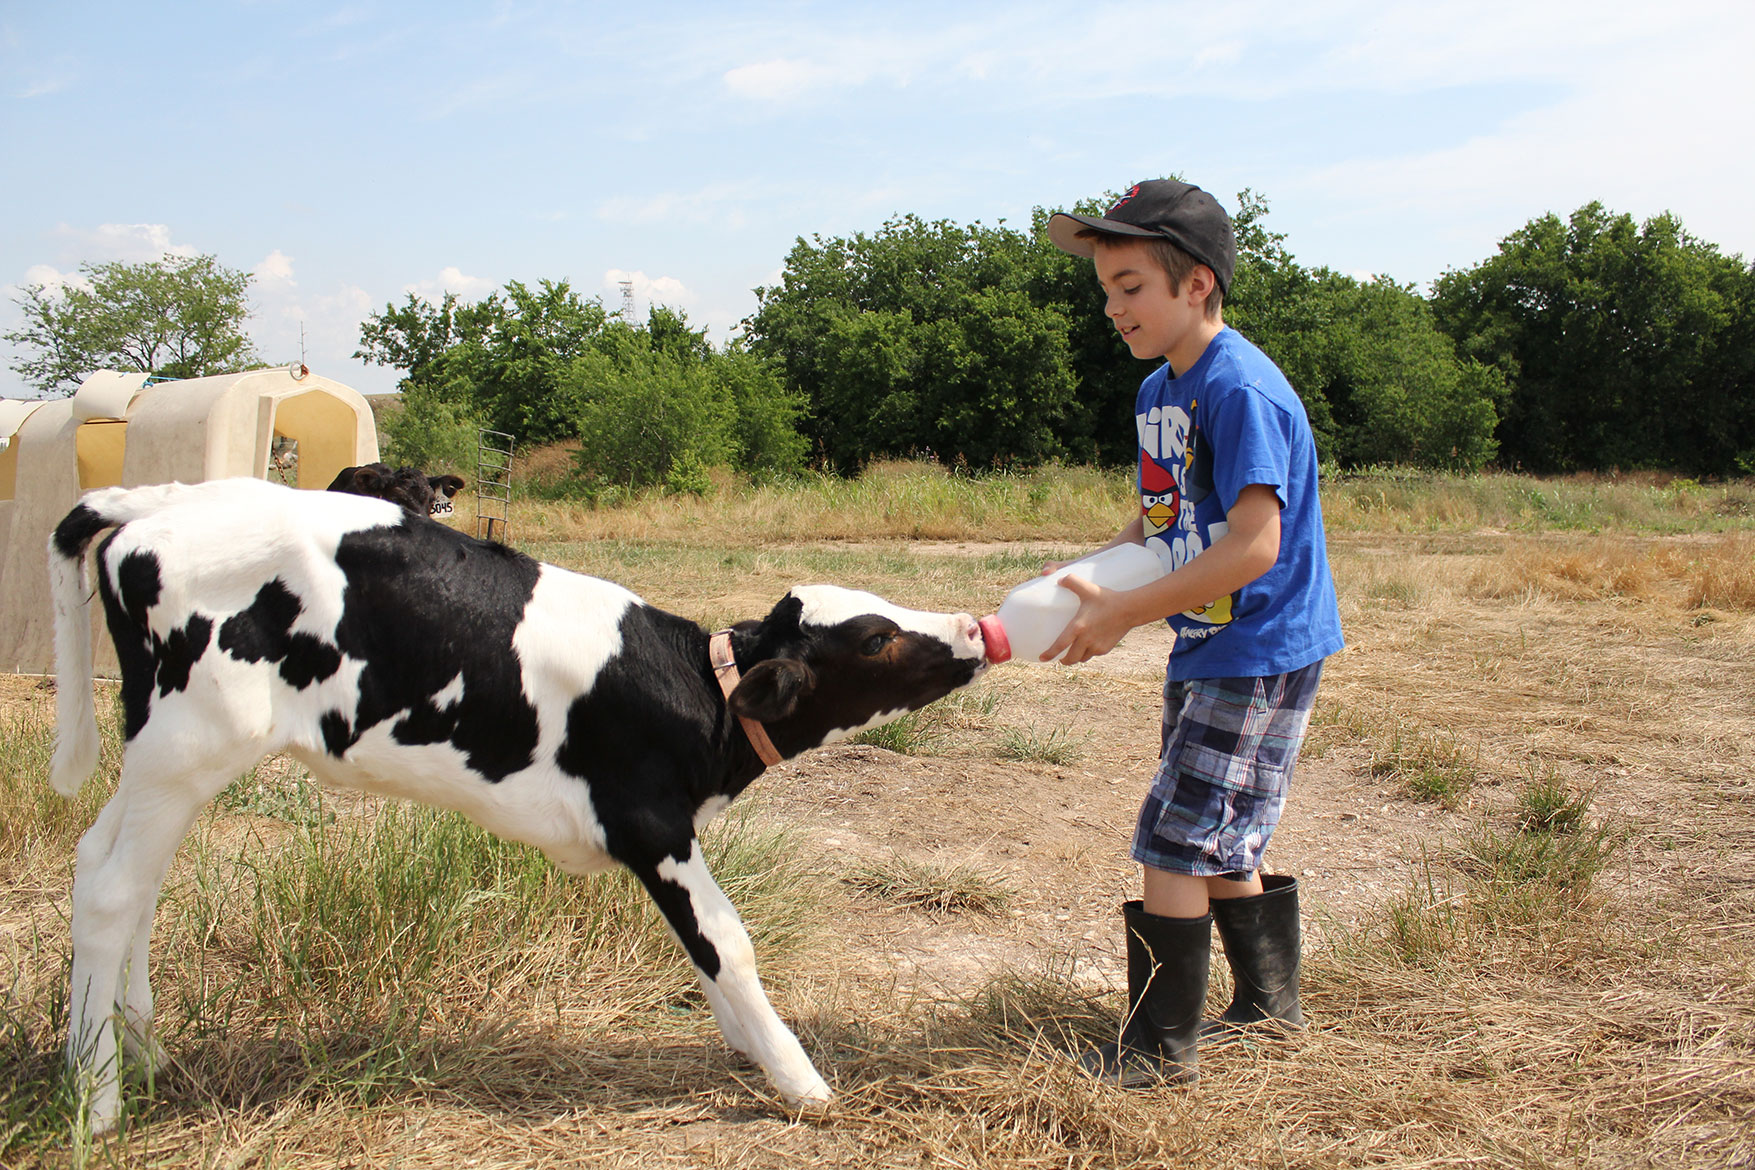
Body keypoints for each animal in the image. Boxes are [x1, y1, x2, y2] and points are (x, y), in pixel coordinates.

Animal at [51, 477, 989, 1136]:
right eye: (874, 638)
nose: (975, 630)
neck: (700, 692)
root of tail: (164, 500)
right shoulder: (652, 826)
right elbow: (724, 941)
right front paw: (798, 1080)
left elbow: (706, 951)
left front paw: (746, 1045)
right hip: (190, 742)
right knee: (112, 892)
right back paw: (97, 1102)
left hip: (162, 753)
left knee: (117, 876)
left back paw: (138, 1053)